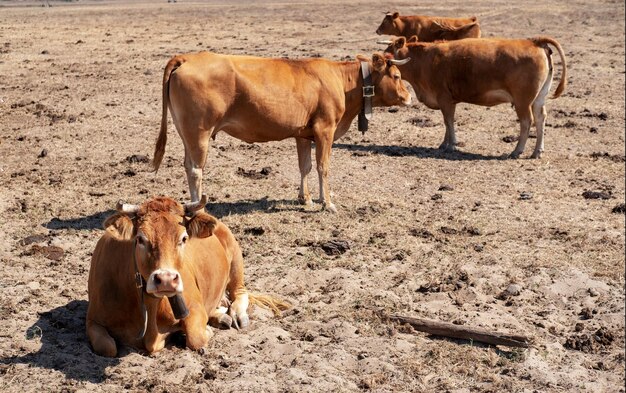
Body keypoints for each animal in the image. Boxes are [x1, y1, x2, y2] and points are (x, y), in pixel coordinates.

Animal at [85, 195, 286, 356]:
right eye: (140, 239)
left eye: (183, 238)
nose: (165, 280)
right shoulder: (92, 320)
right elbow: (107, 347)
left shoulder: (194, 307)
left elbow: (196, 337)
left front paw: (204, 332)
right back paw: (221, 315)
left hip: (236, 258)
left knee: (239, 292)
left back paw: (236, 314)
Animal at [152, 52, 412, 213]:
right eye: (397, 76)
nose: (410, 97)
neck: (342, 81)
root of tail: (187, 58)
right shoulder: (325, 130)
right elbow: (323, 167)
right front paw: (327, 202)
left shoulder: (303, 134)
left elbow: (305, 166)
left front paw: (306, 198)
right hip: (200, 134)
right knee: (196, 171)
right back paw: (200, 209)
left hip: (187, 135)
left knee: (188, 166)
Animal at [380, 35, 564, 158]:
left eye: (388, 54)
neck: (426, 60)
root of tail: (534, 41)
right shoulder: (449, 101)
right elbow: (447, 123)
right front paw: (444, 143)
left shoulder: (444, 98)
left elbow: (448, 121)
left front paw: (452, 145)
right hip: (538, 99)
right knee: (540, 118)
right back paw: (537, 151)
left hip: (522, 101)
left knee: (527, 121)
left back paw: (517, 150)